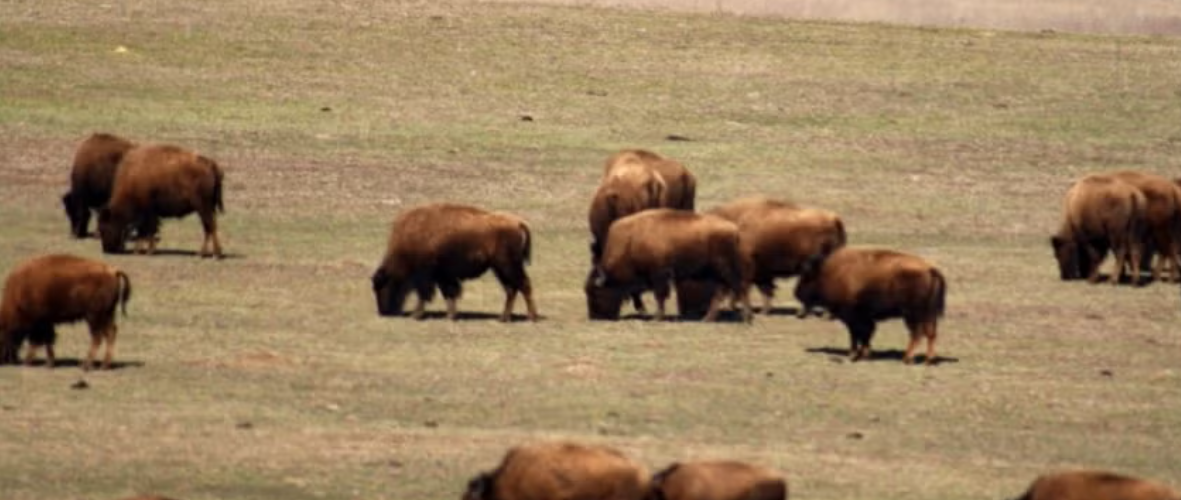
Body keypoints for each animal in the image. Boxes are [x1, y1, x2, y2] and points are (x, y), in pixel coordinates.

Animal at [0, 254, 131, 370]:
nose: (4, 361)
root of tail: (112, 271)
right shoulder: (45, 323)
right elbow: (42, 341)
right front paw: (41, 362)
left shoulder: (42, 322)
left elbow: (43, 340)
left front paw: (44, 363)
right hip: (107, 314)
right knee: (110, 333)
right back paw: (104, 366)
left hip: (94, 317)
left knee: (97, 338)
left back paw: (86, 366)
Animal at [371, 203, 538, 321]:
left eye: (382, 286)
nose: (383, 312)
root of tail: (518, 223)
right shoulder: (443, 276)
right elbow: (449, 293)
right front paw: (451, 315)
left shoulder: (426, 276)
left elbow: (425, 294)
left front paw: (417, 315)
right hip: (500, 268)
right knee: (511, 289)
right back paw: (504, 318)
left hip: (508, 266)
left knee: (523, 285)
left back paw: (531, 317)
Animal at [794, 247, 946, 364]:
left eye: (806, 276)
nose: (797, 292)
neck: (829, 272)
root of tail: (930, 269)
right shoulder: (865, 318)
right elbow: (865, 335)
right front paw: (865, 355)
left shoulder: (852, 317)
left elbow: (856, 335)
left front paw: (853, 355)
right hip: (928, 313)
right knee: (930, 333)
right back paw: (928, 360)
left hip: (912, 314)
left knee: (917, 334)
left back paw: (907, 358)